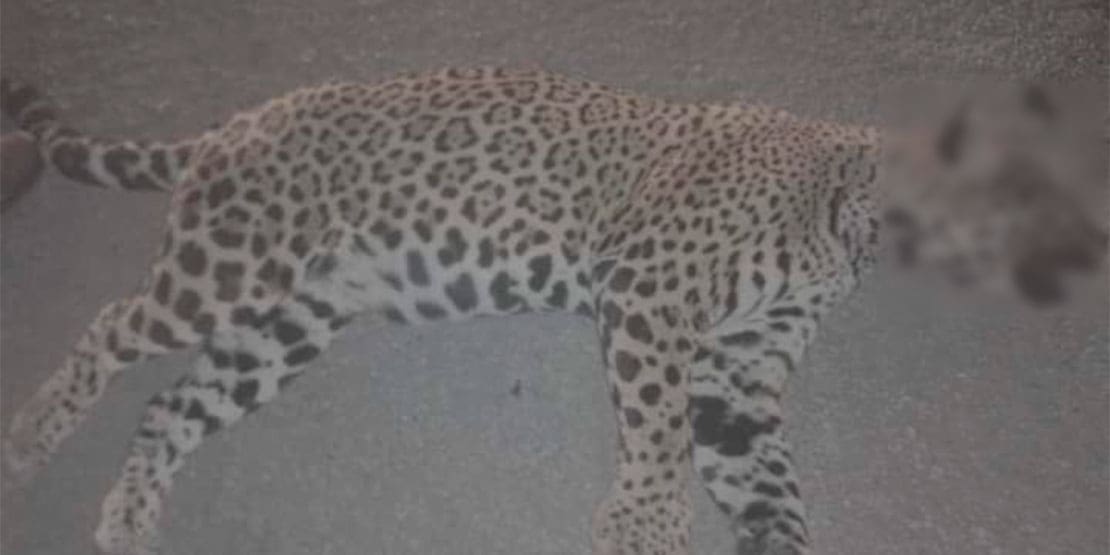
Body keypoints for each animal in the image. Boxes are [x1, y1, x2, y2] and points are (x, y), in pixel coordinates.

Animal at [0, 67, 1104, 555]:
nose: (1059, 269)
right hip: (230, 270)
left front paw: (763, 535)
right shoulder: (655, 295)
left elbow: (769, 485)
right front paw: (646, 524)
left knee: (168, 405)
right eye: (1013, 201)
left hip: (288, 324)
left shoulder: (737, 373)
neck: (844, 229)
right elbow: (656, 435)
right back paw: (31, 436)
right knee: (111, 325)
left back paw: (129, 514)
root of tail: (236, 122)